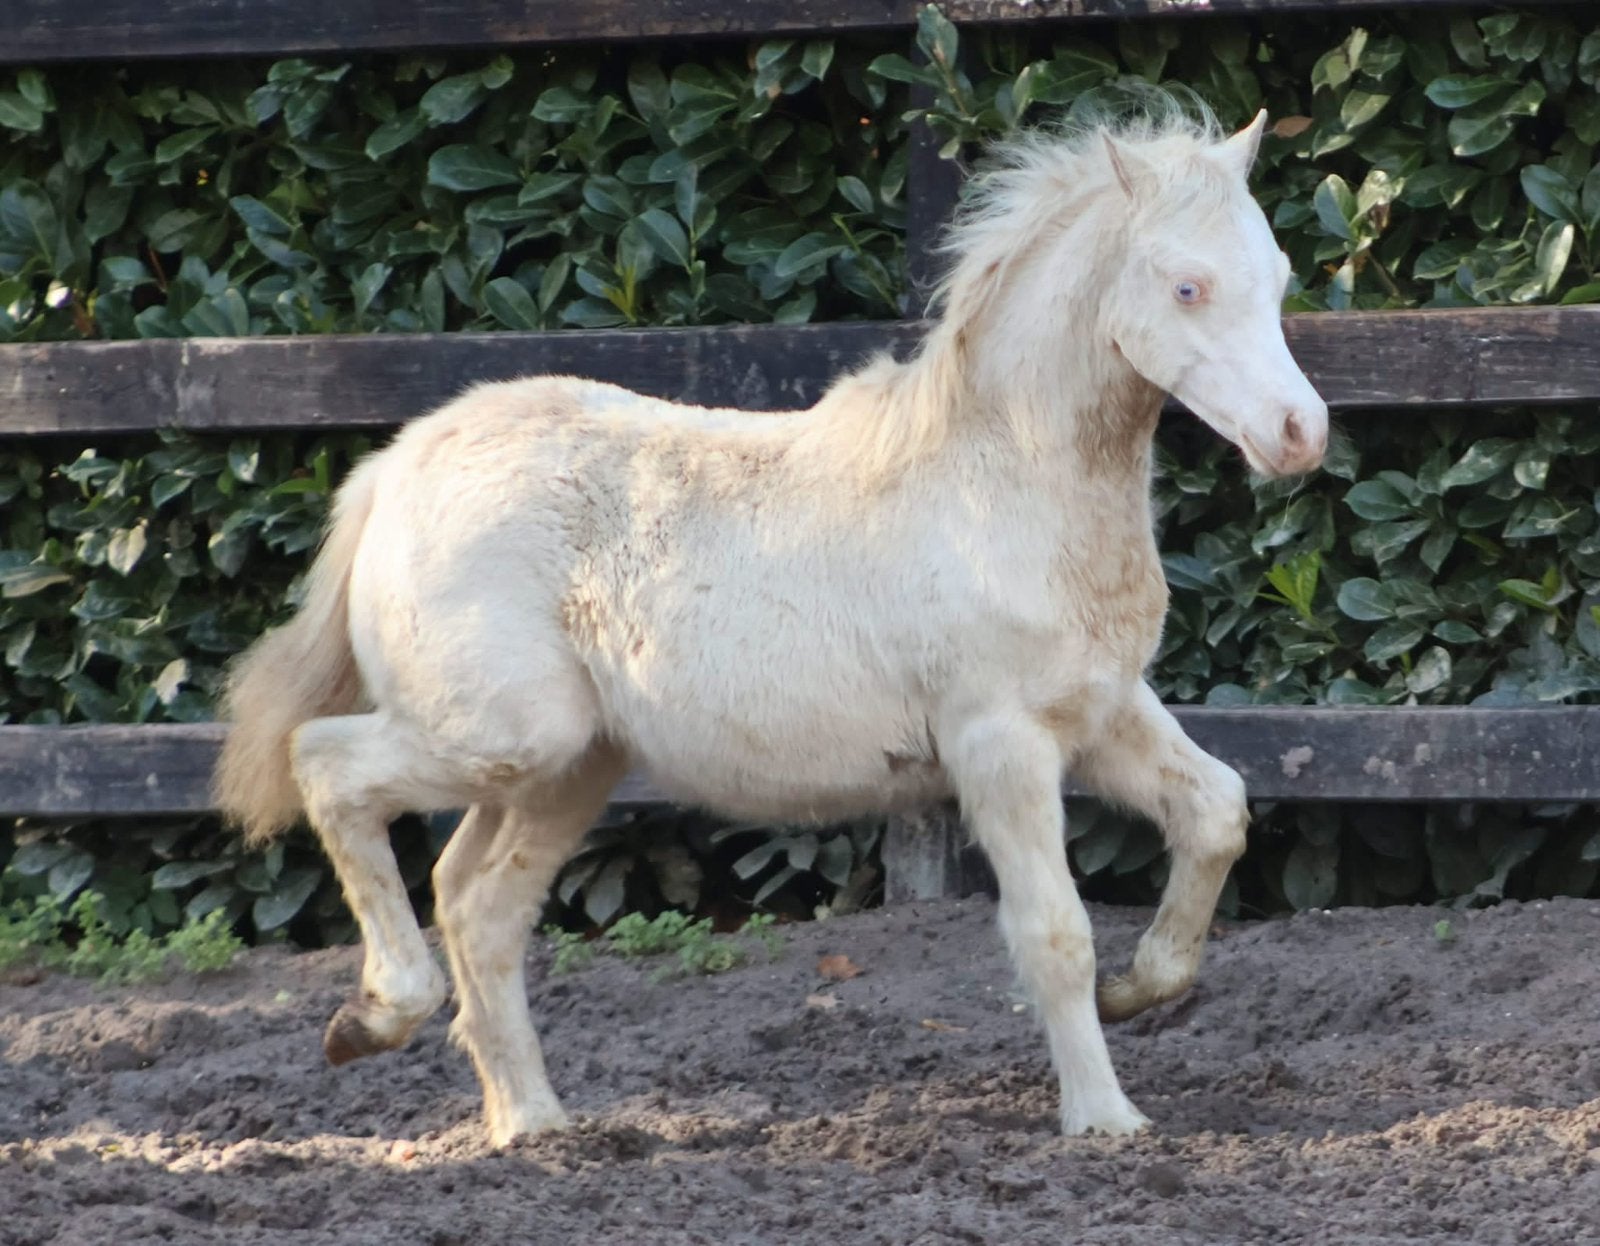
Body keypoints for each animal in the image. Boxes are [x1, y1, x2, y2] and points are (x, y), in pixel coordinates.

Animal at [216, 100, 1328, 1147]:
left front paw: (1142, 989)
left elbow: (1218, 811)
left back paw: (529, 1121)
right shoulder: (999, 743)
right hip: (501, 732)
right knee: (328, 764)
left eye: (1276, 275)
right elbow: (1054, 933)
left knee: (476, 902)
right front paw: (1103, 1118)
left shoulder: (1100, 713)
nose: (1299, 435)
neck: (1003, 482)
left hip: (566, 764)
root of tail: (396, 465)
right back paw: (376, 1018)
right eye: (1186, 287)